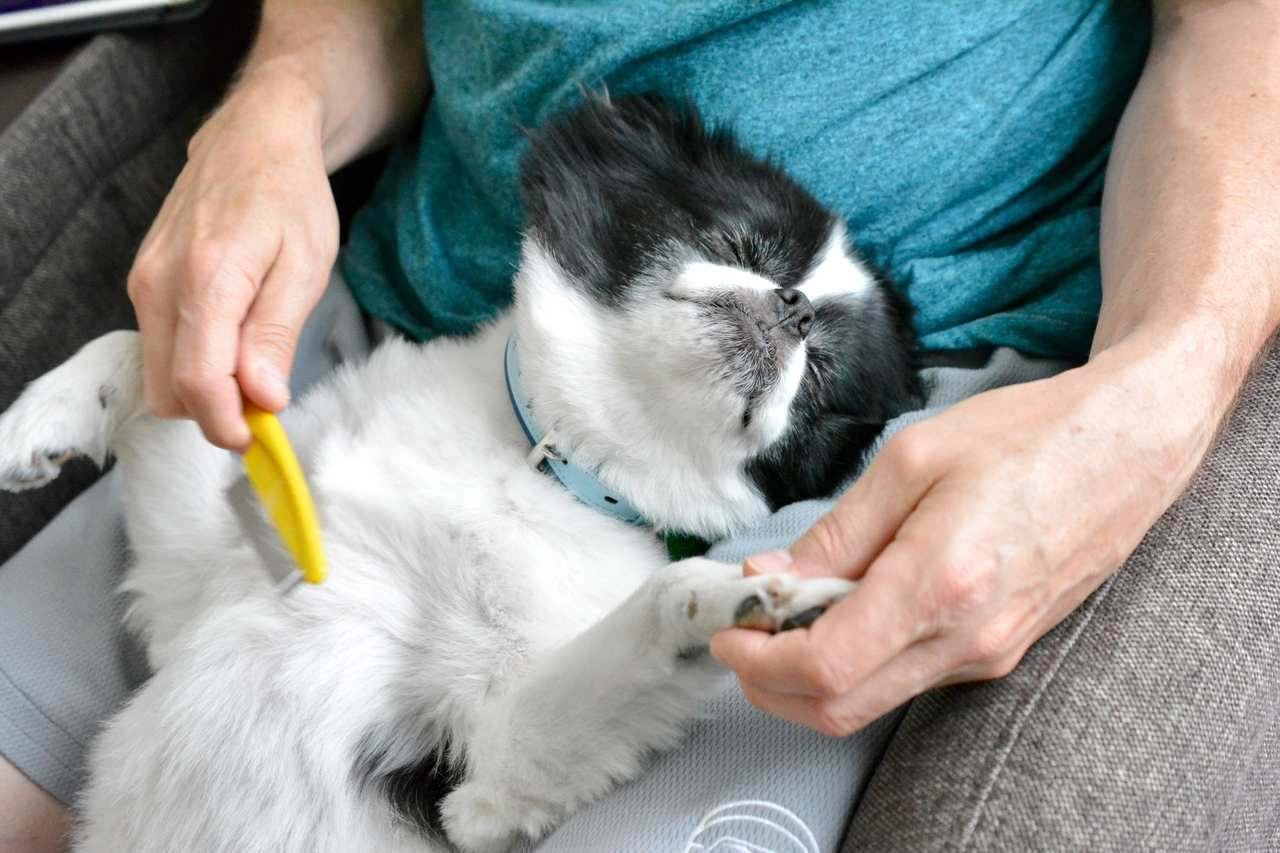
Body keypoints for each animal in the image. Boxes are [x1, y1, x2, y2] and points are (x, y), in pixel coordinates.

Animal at [0, 94, 921, 850]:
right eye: (738, 242)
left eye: (822, 379)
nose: (796, 312)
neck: (544, 460)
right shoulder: (188, 578)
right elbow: (141, 355)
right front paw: (35, 424)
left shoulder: (483, 783)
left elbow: (650, 612)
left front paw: (751, 599)